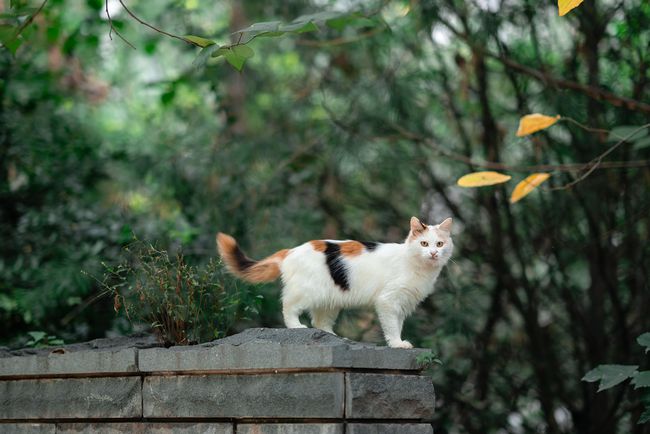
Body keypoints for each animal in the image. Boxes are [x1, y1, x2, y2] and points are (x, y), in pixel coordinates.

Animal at [218, 217, 450, 350]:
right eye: (424, 243)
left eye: (439, 244)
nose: (433, 253)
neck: (416, 265)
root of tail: (291, 250)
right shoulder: (388, 301)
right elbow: (392, 326)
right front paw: (397, 344)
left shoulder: (402, 303)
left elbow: (398, 324)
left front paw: (398, 341)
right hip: (307, 291)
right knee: (288, 307)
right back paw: (296, 326)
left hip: (329, 300)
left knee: (319, 322)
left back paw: (332, 337)